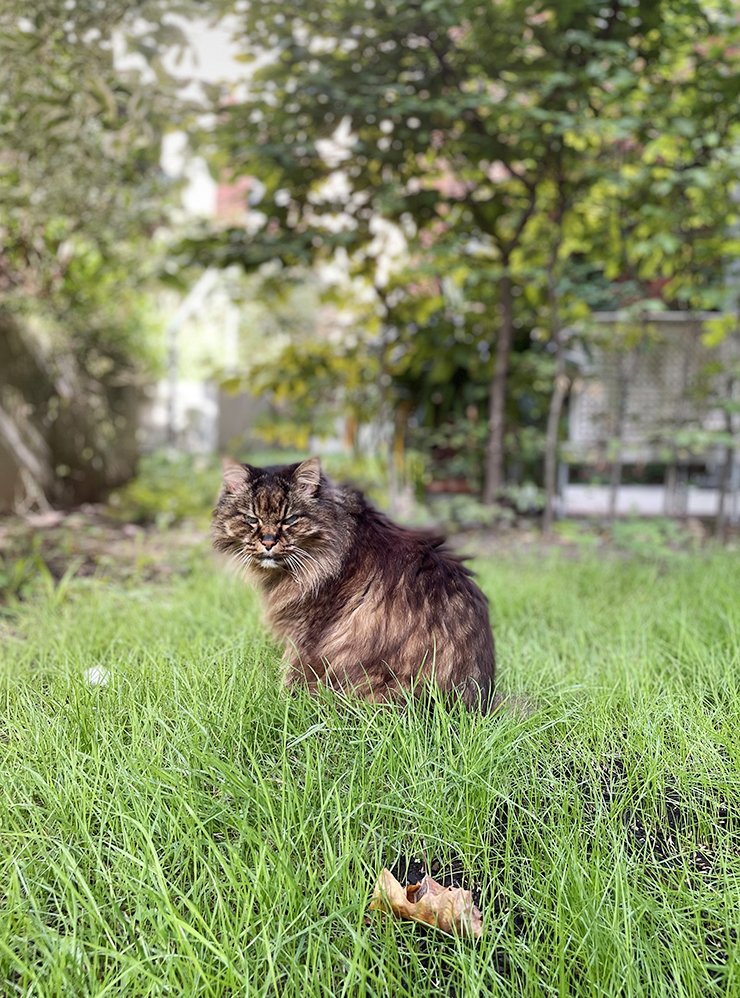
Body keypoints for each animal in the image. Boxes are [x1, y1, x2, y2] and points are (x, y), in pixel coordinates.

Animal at [211, 458, 494, 716]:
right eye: (250, 519)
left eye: (290, 519)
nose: (268, 541)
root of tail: (471, 709)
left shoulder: (303, 635)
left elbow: (291, 677)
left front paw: (283, 705)